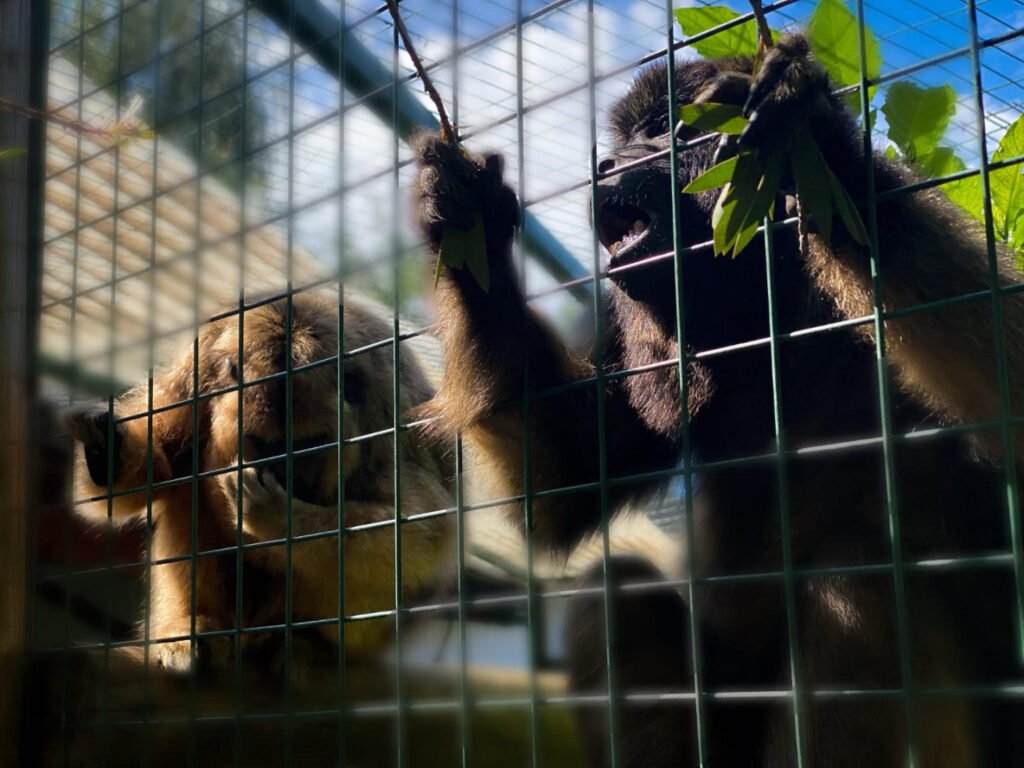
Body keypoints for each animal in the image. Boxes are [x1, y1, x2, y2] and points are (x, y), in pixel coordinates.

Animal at [66, 293, 454, 673]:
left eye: (306, 447)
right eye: (267, 446)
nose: (284, 476)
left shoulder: (386, 411)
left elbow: (423, 532)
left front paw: (280, 519)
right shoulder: (198, 369)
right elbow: (159, 465)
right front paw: (106, 447)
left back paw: (305, 642)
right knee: (187, 491)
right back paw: (192, 628)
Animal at [414, 34, 1024, 766]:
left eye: (660, 130)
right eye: (622, 140)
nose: (604, 163)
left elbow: (1010, 388)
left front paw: (810, 135)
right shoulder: (624, 322)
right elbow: (568, 480)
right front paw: (467, 221)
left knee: (857, 577)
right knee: (616, 591)